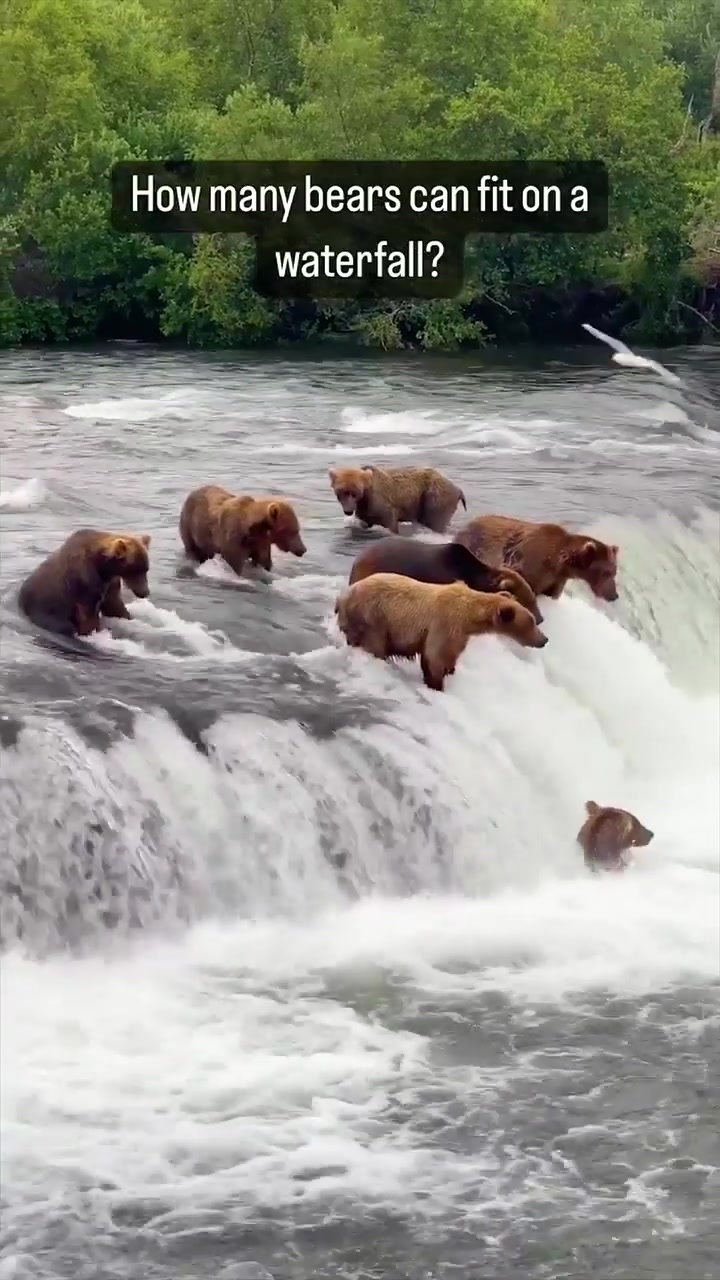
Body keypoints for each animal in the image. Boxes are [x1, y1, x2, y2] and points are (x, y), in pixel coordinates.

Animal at [17, 529, 151, 638]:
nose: (144, 592)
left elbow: (114, 605)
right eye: (134, 570)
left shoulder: (109, 583)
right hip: (45, 610)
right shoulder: (85, 583)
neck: (103, 567)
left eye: (146, 569)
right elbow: (88, 615)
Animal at [328, 465, 466, 534]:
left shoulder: (383, 506)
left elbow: (391, 525)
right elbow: (364, 522)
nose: (348, 511)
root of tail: (458, 488)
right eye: (340, 492)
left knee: (436, 523)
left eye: (354, 493)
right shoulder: (365, 511)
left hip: (434, 498)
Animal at [334, 572, 548, 692]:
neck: (470, 617)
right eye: (530, 622)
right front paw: (436, 683)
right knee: (375, 644)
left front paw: (449, 671)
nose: (544, 639)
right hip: (373, 617)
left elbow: (450, 655)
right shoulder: (445, 624)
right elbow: (436, 656)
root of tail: (343, 597)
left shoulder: (459, 633)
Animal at [454, 514, 619, 601]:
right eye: (606, 573)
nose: (614, 595)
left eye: (614, 572)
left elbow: (552, 592)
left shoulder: (557, 579)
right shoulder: (533, 565)